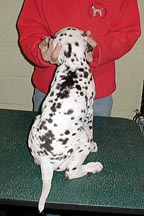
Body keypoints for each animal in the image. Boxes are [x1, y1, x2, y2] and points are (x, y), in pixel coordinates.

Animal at [28, 26, 103, 213]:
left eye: (55, 36)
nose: (47, 37)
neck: (72, 65)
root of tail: (46, 162)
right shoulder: (89, 111)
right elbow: (91, 131)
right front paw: (94, 145)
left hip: (36, 119)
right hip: (81, 142)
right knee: (71, 172)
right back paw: (93, 166)